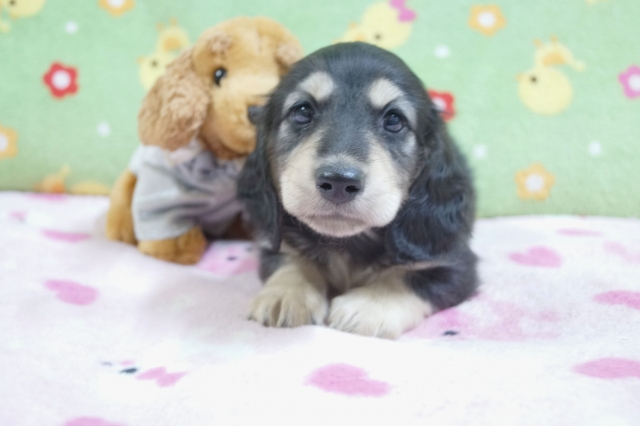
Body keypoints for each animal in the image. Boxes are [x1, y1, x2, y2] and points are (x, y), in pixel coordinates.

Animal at [238, 42, 478, 339]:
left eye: (394, 119)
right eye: (303, 111)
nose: (339, 182)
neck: (349, 241)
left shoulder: (455, 265)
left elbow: (408, 277)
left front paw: (369, 305)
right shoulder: (278, 243)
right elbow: (291, 260)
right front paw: (286, 293)